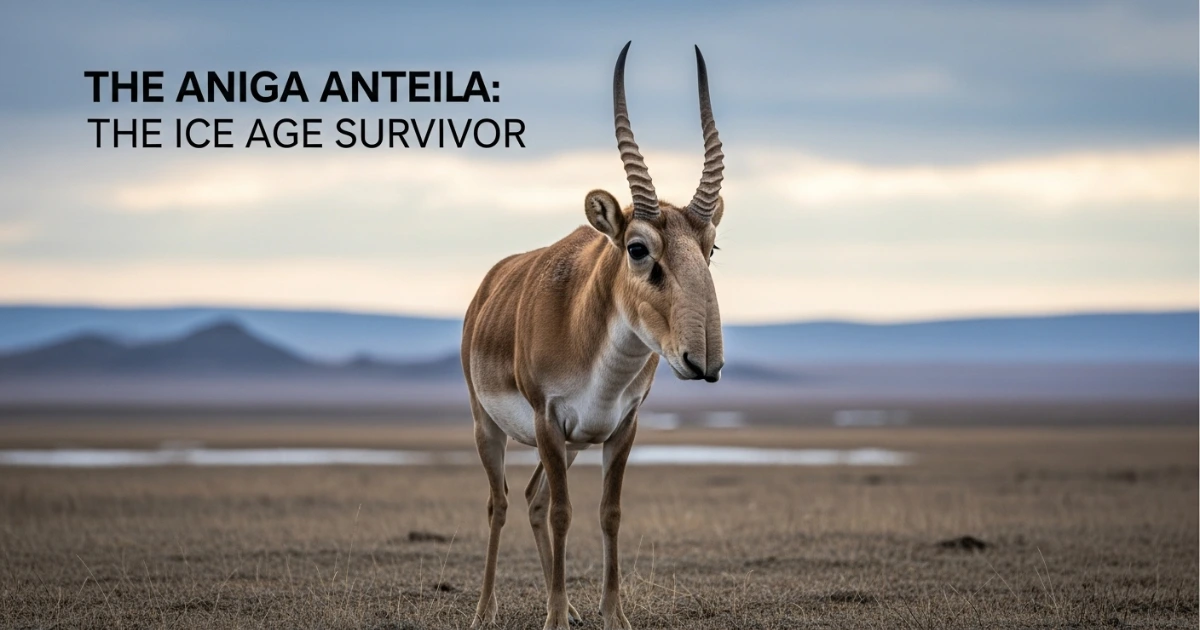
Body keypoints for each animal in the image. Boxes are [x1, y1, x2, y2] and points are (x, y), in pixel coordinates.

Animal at [461, 42, 726, 630]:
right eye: (637, 247)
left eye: (711, 247)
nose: (704, 361)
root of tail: (489, 285)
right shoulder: (548, 420)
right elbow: (564, 513)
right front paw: (555, 619)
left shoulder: (620, 427)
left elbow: (609, 513)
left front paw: (610, 613)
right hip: (489, 427)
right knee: (500, 503)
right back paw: (485, 610)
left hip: (574, 443)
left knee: (532, 498)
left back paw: (570, 607)